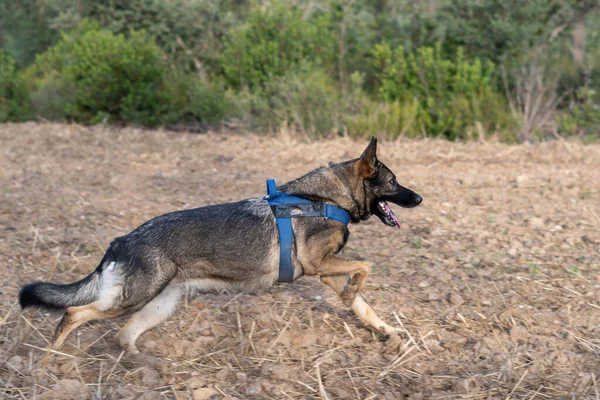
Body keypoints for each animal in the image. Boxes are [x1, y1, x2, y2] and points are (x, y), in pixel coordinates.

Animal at [19, 138, 422, 354]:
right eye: (394, 182)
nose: (419, 198)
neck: (324, 197)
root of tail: (120, 241)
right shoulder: (319, 264)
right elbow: (366, 267)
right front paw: (355, 292)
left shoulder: (326, 270)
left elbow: (362, 304)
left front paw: (386, 330)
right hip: (131, 299)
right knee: (73, 314)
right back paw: (50, 361)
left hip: (158, 304)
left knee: (122, 335)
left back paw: (139, 362)